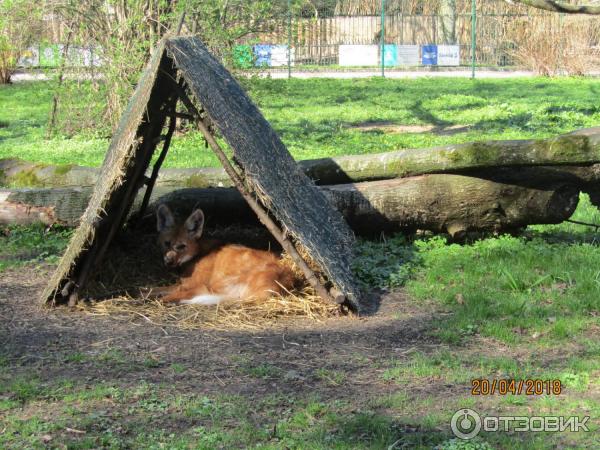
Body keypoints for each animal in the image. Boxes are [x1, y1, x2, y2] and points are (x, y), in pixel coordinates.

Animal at [154, 205, 296, 306]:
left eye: (181, 246)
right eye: (167, 243)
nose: (168, 261)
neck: (197, 254)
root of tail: (283, 278)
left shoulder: (195, 285)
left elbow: (163, 293)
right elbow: (154, 289)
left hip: (217, 283)